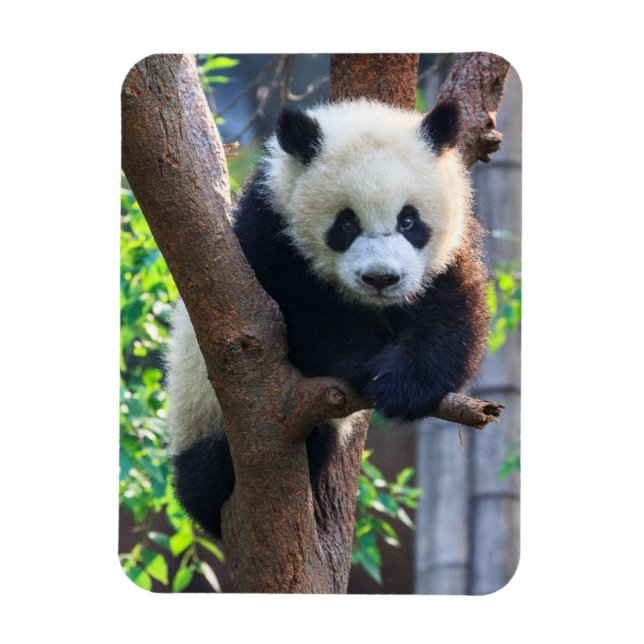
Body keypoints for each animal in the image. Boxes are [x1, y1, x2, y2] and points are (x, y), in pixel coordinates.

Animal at [166, 99, 489, 539]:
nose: (381, 278)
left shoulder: (447, 253)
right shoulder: (267, 238)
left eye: (409, 221)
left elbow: (451, 315)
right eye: (346, 223)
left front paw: (403, 385)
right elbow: (301, 321)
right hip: (201, 412)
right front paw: (367, 363)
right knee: (211, 474)